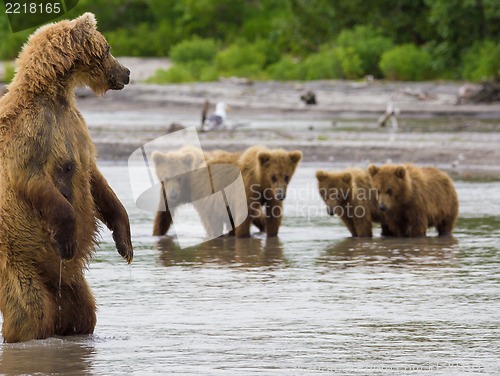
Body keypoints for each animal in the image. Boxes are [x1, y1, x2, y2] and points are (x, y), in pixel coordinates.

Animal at [0, 13, 134, 344]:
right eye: (108, 47)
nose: (127, 72)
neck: (55, 94)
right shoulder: (32, 133)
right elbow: (32, 179)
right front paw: (68, 239)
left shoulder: (76, 128)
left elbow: (96, 179)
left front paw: (125, 243)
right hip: (15, 257)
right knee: (28, 307)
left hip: (69, 284)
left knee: (82, 311)